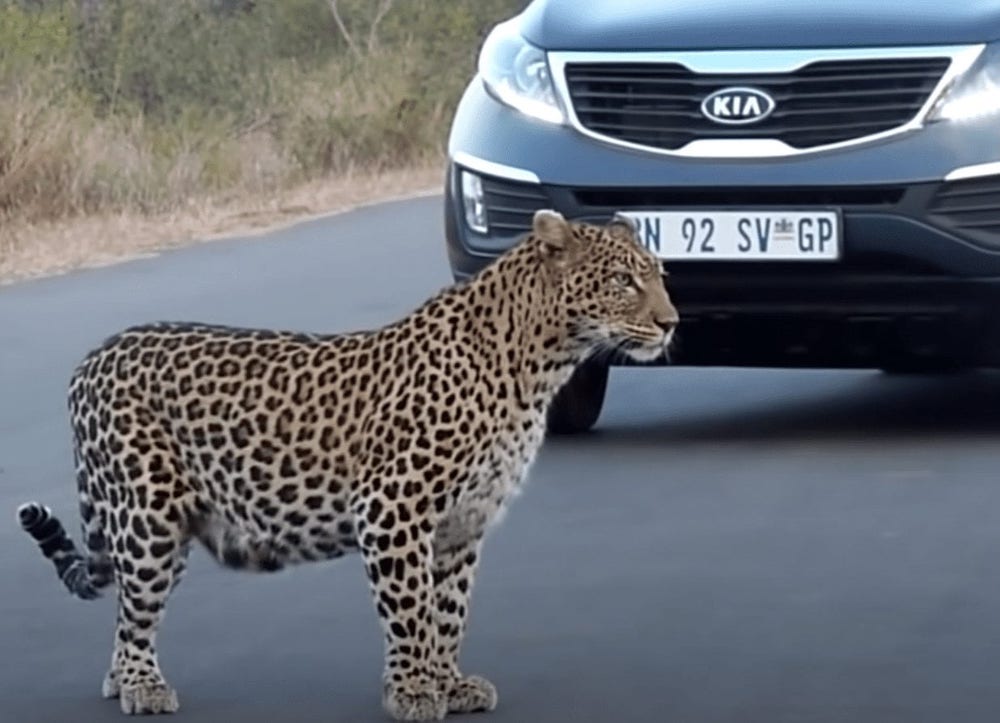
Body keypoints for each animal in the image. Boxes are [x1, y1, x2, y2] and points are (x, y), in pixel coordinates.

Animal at [17, 208, 678, 720]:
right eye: (622, 280)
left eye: (660, 276)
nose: (670, 323)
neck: (537, 363)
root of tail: (95, 355)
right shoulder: (393, 508)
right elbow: (411, 609)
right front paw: (413, 692)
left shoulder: (463, 524)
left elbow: (450, 610)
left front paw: (448, 683)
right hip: (147, 517)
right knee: (136, 611)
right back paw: (141, 685)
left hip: (169, 527)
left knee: (131, 606)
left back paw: (121, 678)